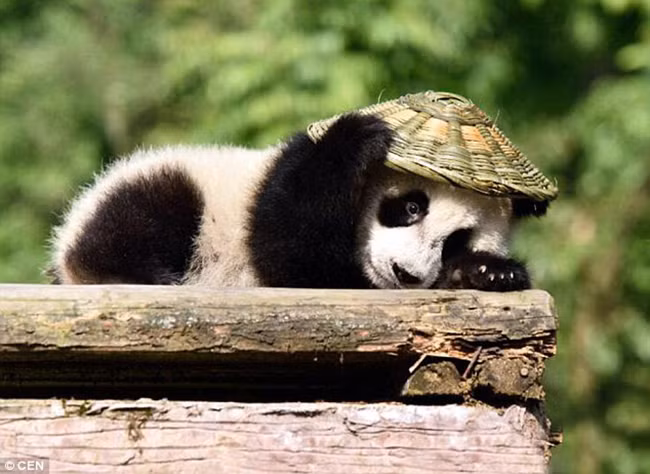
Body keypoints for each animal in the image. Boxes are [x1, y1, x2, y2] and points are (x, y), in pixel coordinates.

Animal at [49, 114, 547, 291]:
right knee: (148, 212)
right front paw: (357, 136)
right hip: (177, 185)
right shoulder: (272, 180)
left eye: (457, 240)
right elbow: (284, 243)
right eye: (411, 207)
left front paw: (493, 272)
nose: (405, 274)